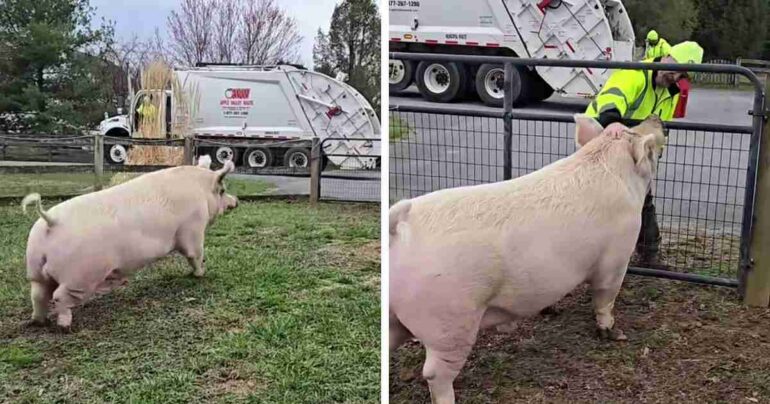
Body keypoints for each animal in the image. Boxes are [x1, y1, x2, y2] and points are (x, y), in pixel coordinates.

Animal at [21, 155, 238, 332]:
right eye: (222, 190)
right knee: (59, 297)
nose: (236, 201)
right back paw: (64, 327)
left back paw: (38, 322)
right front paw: (201, 273)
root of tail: (51, 221)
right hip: (79, 275)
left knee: (38, 295)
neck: (201, 191)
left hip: (35, 269)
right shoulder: (193, 230)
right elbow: (195, 255)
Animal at [389, 115, 666, 404]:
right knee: (434, 374)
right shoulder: (616, 257)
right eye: (647, 147)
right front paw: (612, 332)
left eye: (629, 128)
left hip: (397, 318)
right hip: (449, 323)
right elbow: (605, 297)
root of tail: (399, 229)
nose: (656, 118)